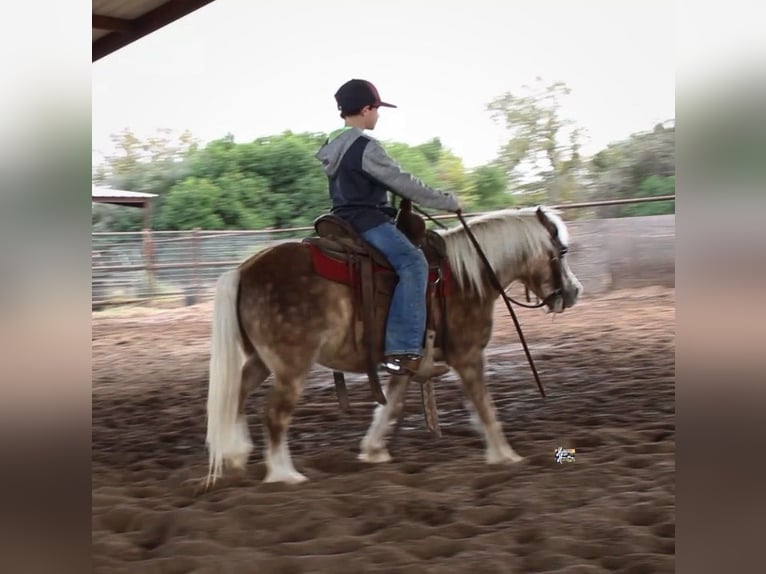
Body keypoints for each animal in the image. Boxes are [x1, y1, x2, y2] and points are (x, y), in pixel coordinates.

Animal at [202, 207, 584, 486]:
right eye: (562, 251)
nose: (573, 292)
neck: (465, 277)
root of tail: (244, 270)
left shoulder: (407, 361)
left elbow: (391, 405)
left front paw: (373, 451)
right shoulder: (468, 355)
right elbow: (484, 405)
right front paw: (505, 455)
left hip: (260, 360)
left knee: (236, 396)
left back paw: (235, 455)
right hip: (291, 365)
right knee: (275, 414)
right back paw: (284, 474)